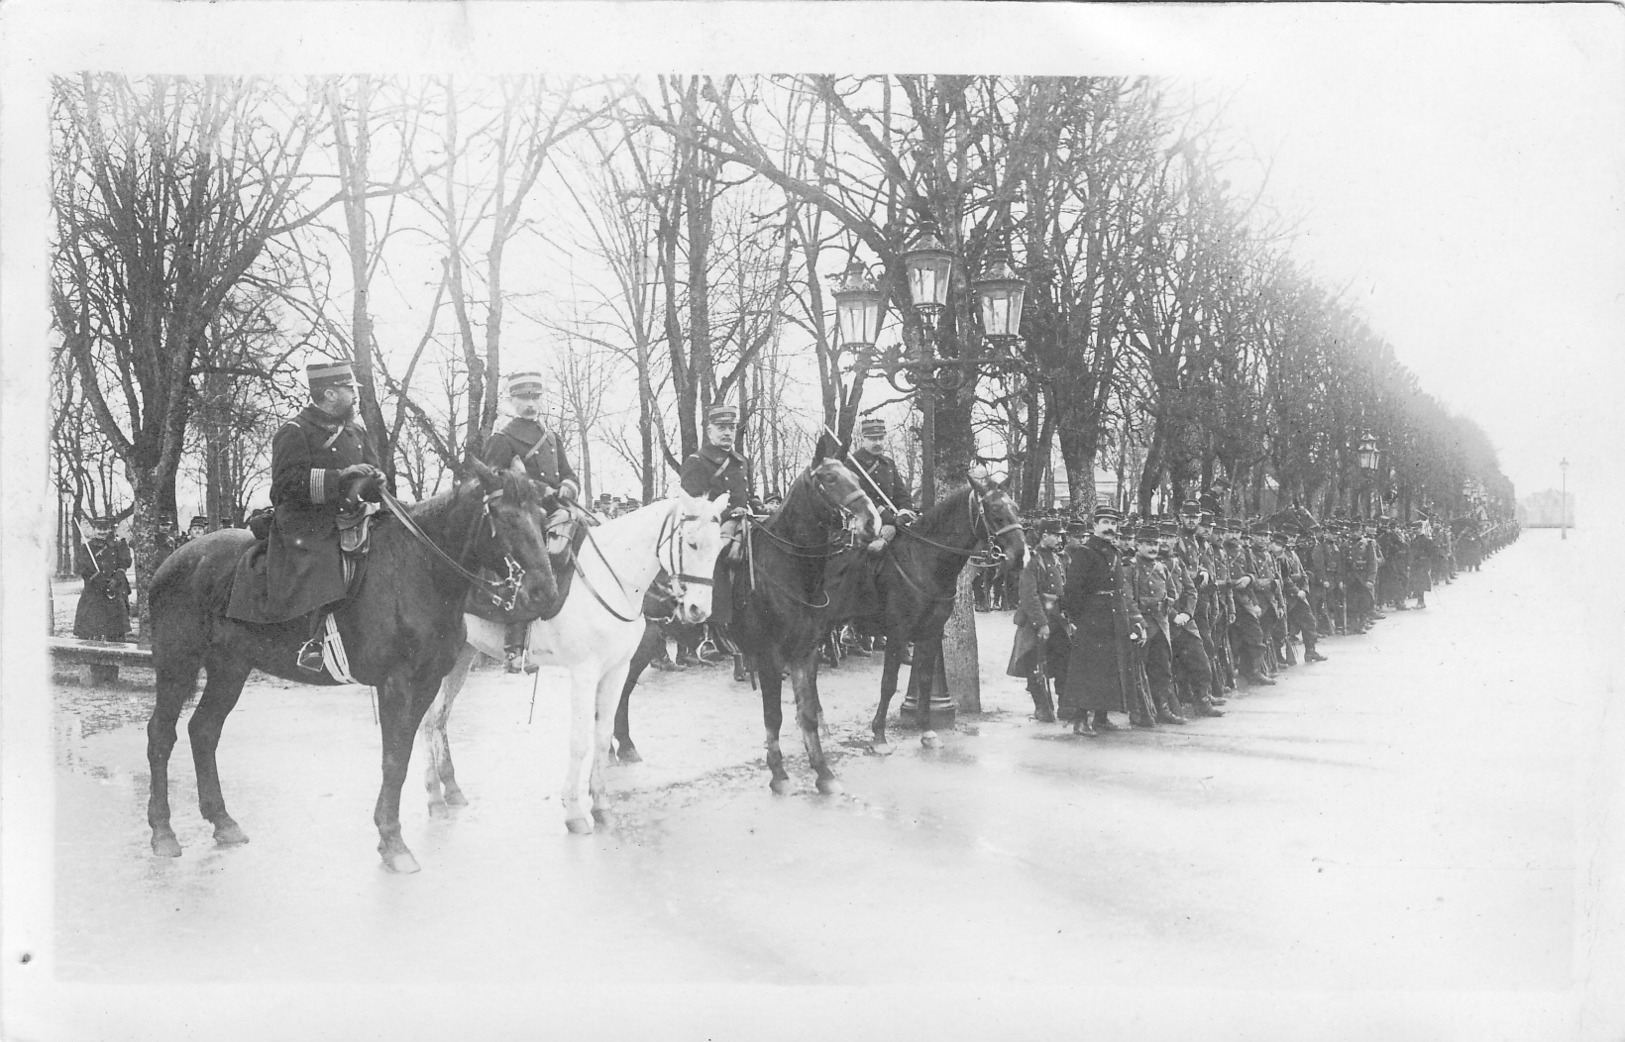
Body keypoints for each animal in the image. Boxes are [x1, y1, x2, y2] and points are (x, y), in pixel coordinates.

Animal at [143, 458, 559, 871]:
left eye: (542, 517)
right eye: (503, 516)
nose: (546, 594)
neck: (420, 568)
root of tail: (171, 561)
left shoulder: (426, 683)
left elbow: (404, 752)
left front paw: (390, 833)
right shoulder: (396, 682)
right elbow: (394, 758)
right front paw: (393, 840)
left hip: (230, 668)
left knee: (203, 731)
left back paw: (222, 821)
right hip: (178, 664)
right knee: (162, 735)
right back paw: (163, 832)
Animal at [422, 490, 728, 832]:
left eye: (719, 547)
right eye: (691, 543)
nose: (698, 610)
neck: (611, 579)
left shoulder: (617, 670)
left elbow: (602, 734)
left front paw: (602, 805)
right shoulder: (585, 672)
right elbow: (580, 740)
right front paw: (574, 811)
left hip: (462, 655)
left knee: (438, 719)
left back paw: (450, 789)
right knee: (427, 720)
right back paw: (434, 797)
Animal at [604, 458, 877, 793]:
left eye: (856, 477)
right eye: (830, 479)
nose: (871, 522)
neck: (787, 566)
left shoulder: (805, 652)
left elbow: (808, 713)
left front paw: (823, 773)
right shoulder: (770, 656)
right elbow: (774, 715)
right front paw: (779, 773)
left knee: (622, 691)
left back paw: (625, 746)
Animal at [832, 474, 1020, 754]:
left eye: (1015, 509)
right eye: (996, 513)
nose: (1020, 555)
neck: (924, 561)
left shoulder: (931, 632)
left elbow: (924, 679)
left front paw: (927, 729)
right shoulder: (898, 634)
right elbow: (888, 684)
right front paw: (879, 735)